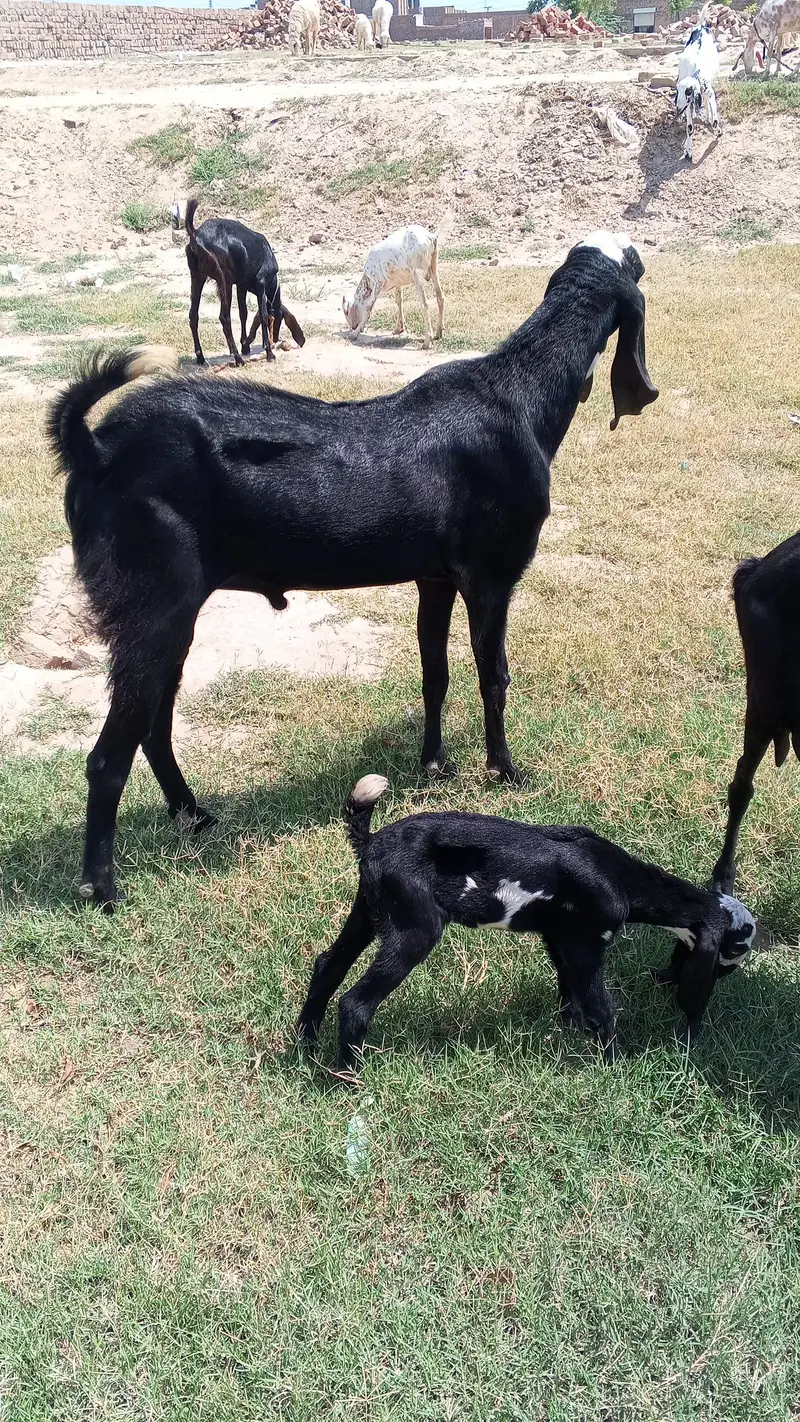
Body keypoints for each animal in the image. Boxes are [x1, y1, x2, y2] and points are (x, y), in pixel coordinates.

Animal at [49, 230, 658, 909]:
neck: (519, 396)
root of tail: (93, 446)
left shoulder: (435, 577)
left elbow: (435, 671)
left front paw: (433, 763)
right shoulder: (491, 575)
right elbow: (493, 674)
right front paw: (506, 772)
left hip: (169, 615)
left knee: (154, 726)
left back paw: (195, 816)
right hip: (152, 607)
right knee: (109, 755)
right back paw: (101, 886)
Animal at [185, 199, 305, 367]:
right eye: (280, 319)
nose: (275, 339)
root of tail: (196, 234)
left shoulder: (241, 286)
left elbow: (244, 313)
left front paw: (245, 346)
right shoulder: (261, 284)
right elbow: (263, 314)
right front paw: (269, 353)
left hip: (197, 276)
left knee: (193, 315)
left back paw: (201, 357)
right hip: (224, 279)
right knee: (224, 317)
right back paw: (237, 358)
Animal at [297, 776, 756, 1068]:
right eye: (733, 953)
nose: (730, 979)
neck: (623, 879)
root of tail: (370, 840)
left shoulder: (558, 935)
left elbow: (568, 985)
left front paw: (570, 1025)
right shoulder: (588, 942)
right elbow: (600, 1004)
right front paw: (616, 1062)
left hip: (370, 910)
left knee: (328, 966)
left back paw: (306, 1047)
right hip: (414, 925)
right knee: (356, 1001)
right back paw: (349, 1077)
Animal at [675, 14, 721, 163]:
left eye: (688, 91)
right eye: (677, 91)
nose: (678, 108)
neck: (696, 71)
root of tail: (701, 26)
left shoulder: (709, 92)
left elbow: (715, 120)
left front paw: (718, 130)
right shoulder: (689, 105)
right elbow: (689, 127)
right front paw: (688, 152)